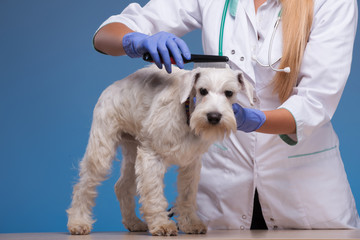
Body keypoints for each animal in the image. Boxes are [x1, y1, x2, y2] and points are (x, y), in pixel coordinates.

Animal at [67, 65, 253, 236]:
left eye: (229, 93)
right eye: (203, 90)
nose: (213, 117)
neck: (186, 114)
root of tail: (114, 85)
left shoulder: (191, 163)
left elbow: (187, 196)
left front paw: (191, 223)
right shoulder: (151, 157)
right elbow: (154, 194)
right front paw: (162, 224)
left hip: (132, 153)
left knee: (122, 187)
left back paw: (133, 222)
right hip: (101, 151)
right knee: (84, 186)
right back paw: (78, 222)